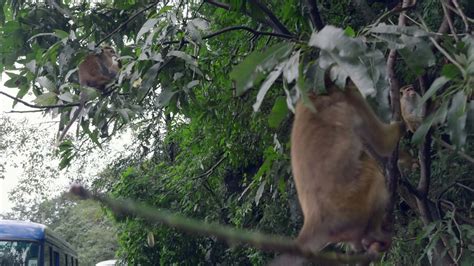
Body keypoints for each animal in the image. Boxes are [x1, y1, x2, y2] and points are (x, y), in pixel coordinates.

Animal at [274, 77, 404, 264]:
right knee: (374, 174)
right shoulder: (353, 98)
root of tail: (314, 221)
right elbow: (384, 143)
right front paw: (405, 121)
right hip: (356, 204)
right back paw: (373, 234)